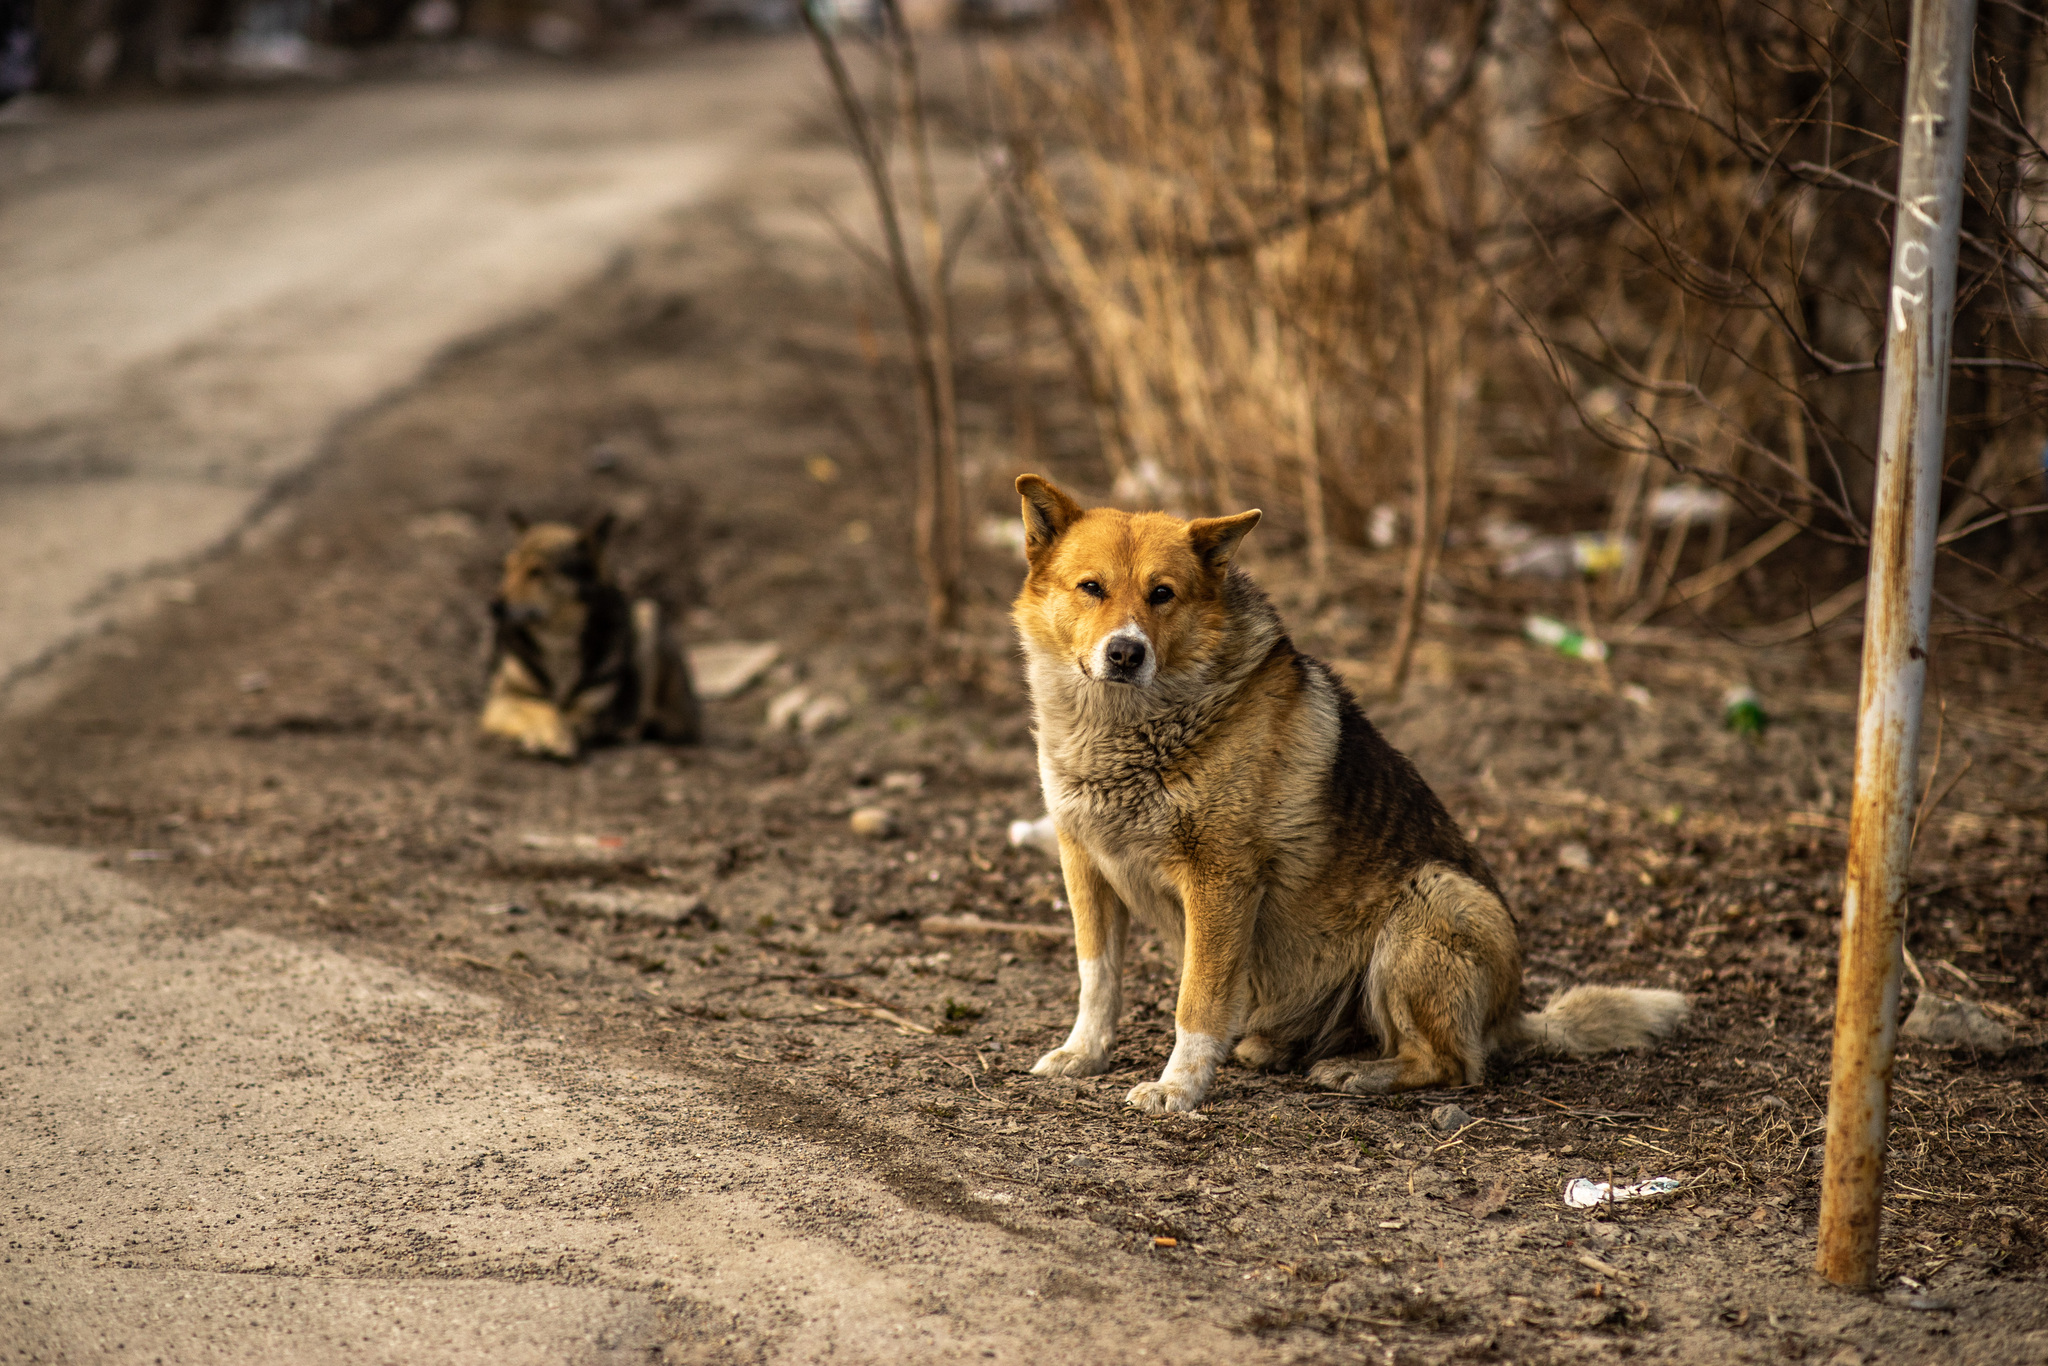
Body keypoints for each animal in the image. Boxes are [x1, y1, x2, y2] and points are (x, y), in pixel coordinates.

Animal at [481, 511, 700, 765]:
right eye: (507, 568)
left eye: (537, 572)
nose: (494, 606)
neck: (559, 644)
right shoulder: (500, 700)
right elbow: (544, 709)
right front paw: (547, 737)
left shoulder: (592, 713)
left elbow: (567, 718)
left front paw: (558, 738)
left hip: (647, 615)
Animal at [1015, 475, 1687, 1114]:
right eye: (1091, 588)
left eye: (1162, 594)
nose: (1126, 653)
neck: (1129, 730)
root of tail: (1513, 1015)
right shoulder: (1084, 863)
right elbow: (1097, 977)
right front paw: (1084, 1053)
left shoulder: (1219, 879)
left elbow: (1197, 1003)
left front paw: (1177, 1088)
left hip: (1431, 900)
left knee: (1455, 1064)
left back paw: (1358, 1074)